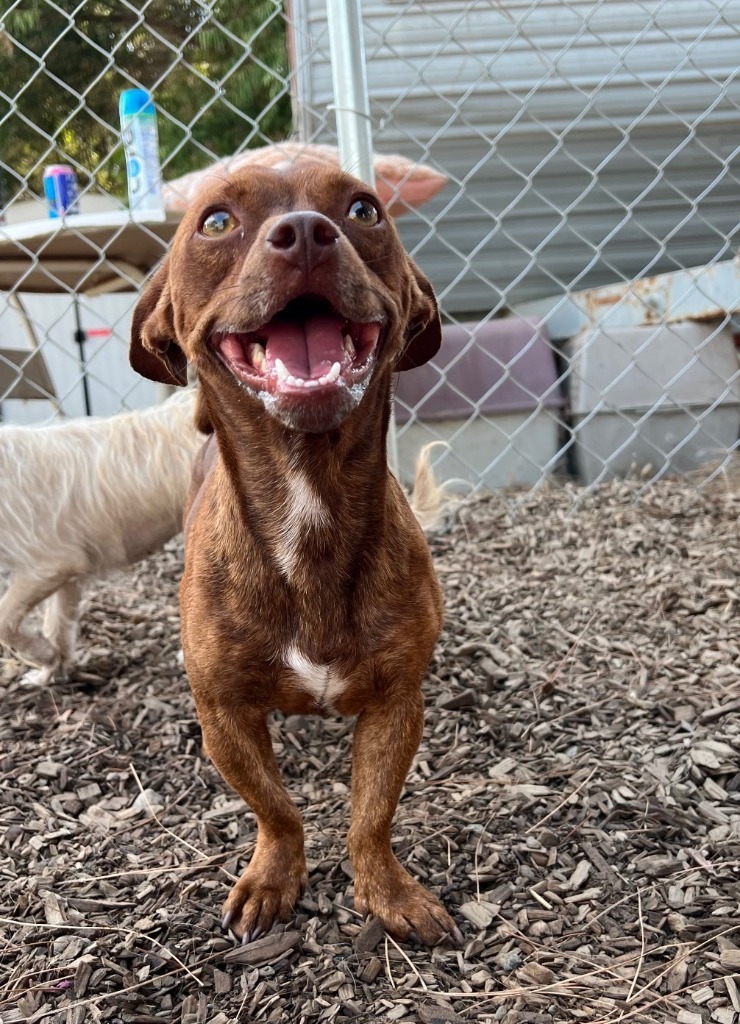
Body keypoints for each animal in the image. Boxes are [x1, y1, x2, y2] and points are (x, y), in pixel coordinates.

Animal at [0, 391, 203, 688]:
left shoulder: (51, 565)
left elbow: (3, 620)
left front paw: (43, 654)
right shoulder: (68, 576)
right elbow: (57, 625)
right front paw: (50, 670)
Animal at [130, 159, 460, 942]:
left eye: (365, 209)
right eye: (216, 221)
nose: (307, 231)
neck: (309, 503)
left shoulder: (396, 703)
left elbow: (372, 813)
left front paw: (386, 890)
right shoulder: (224, 716)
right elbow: (275, 809)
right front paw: (274, 878)